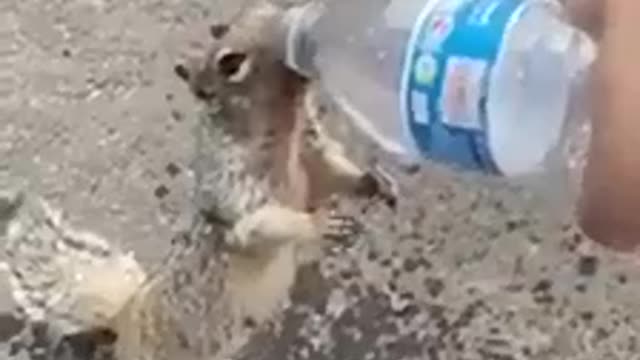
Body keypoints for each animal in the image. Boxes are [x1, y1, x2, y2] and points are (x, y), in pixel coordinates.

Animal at [2, 1, 396, 358]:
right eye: (231, 63)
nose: (305, 31)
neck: (287, 130)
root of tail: (126, 317)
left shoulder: (312, 153)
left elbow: (333, 171)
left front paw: (372, 183)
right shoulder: (236, 186)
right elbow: (262, 224)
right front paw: (319, 224)